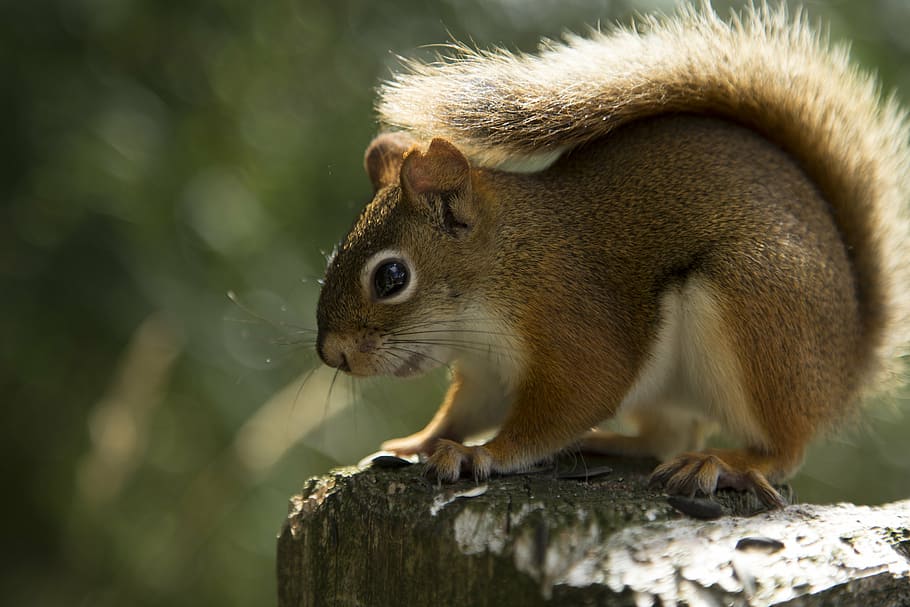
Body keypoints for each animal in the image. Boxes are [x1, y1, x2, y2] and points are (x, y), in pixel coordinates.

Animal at [315, 2, 910, 507]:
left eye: (391, 277)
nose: (332, 355)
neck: (504, 268)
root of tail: (844, 370)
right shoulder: (485, 371)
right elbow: (463, 412)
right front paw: (419, 442)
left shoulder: (574, 324)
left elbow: (571, 402)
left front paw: (478, 453)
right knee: (666, 436)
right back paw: (610, 443)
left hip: (756, 312)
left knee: (783, 450)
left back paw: (722, 463)